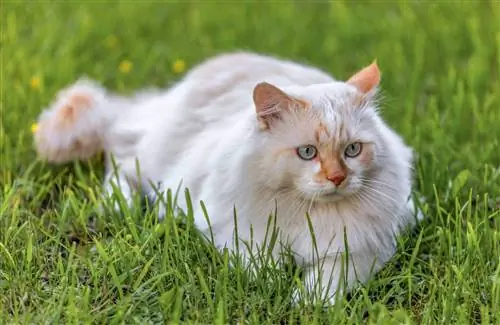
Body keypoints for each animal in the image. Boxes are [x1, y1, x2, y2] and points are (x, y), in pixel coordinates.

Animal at [33, 50, 422, 302]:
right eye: (307, 153)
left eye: (352, 150)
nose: (337, 178)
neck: (310, 213)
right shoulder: (233, 230)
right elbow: (261, 266)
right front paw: (275, 285)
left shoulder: (364, 251)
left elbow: (327, 281)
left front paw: (304, 301)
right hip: (154, 161)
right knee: (119, 162)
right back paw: (121, 206)